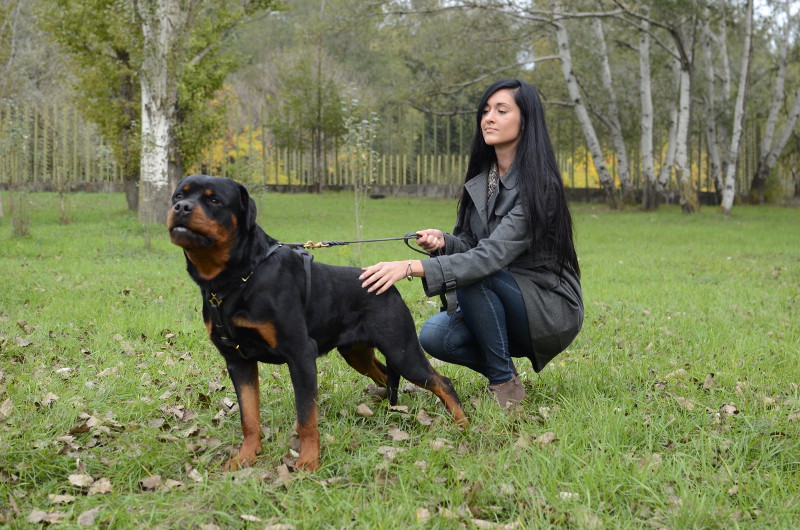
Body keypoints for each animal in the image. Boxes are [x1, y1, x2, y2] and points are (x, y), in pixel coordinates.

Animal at [170, 175, 468, 468]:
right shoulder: (237, 360)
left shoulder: (300, 354)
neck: (239, 278)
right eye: (178, 195)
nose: (181, 207)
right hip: (356, 353)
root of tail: (389, 285)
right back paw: (387, 409)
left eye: (214, 200)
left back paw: (463, 426)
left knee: (442, 382)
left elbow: (306, 418)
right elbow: (249, 416)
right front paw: (245, 457)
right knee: (386, 376)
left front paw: (308, 462)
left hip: (402, 350)